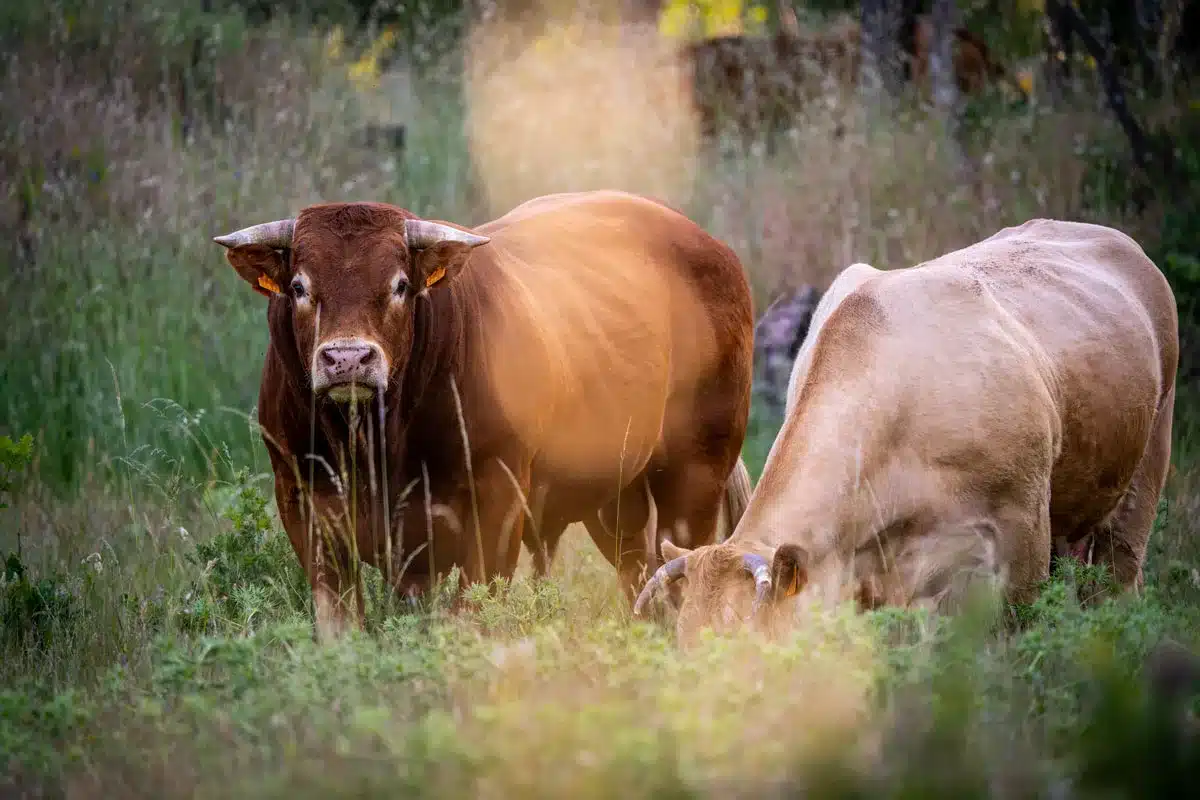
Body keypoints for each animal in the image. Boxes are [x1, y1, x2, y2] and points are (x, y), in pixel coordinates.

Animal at [212, 190, 755, 640]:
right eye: (299, 286)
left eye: (400, 285)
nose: (348, 359)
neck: (375, 444)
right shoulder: (305, 502)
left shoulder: (496, 503)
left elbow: (471, 615)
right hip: (616, 496)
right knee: (640, 575)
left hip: (695, 476)